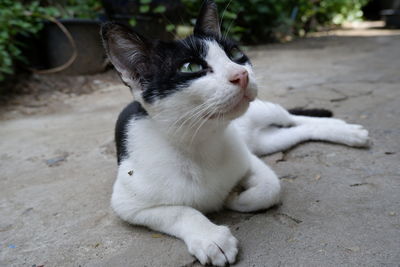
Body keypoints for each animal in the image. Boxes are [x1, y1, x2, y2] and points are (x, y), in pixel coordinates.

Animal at [100, 0, 368, 266]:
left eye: (235, 55)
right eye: (191, 66)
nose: (241, 74)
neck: (201, 141)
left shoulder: (249, 159)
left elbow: (270, 188)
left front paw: (234, 199)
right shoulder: (128, 204)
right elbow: (180, 211)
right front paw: (211, 238)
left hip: (264, 113)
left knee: (292, 118)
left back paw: (346, 130)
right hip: (267, 142)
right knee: (300, 130)